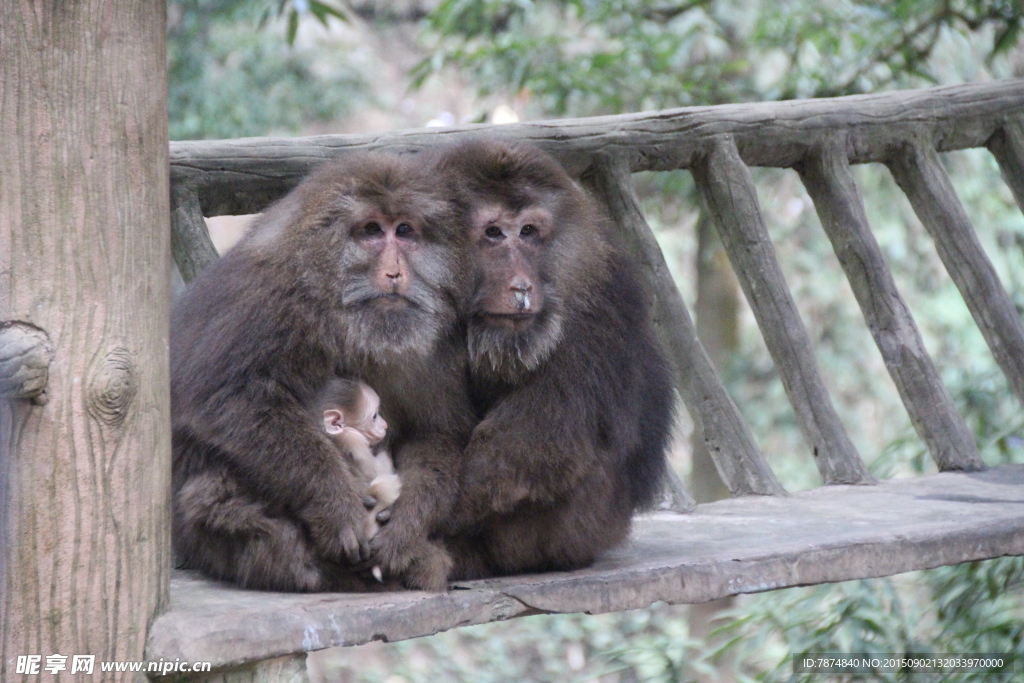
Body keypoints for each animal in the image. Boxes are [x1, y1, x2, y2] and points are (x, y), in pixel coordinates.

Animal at [169, 152, 473, 589]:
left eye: (404, 230)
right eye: (371, 231)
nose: (395, 273)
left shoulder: (433, 341)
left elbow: (436, 431)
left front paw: (405, 529)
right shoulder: (271, 299)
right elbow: (231, 400)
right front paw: (335, 506)